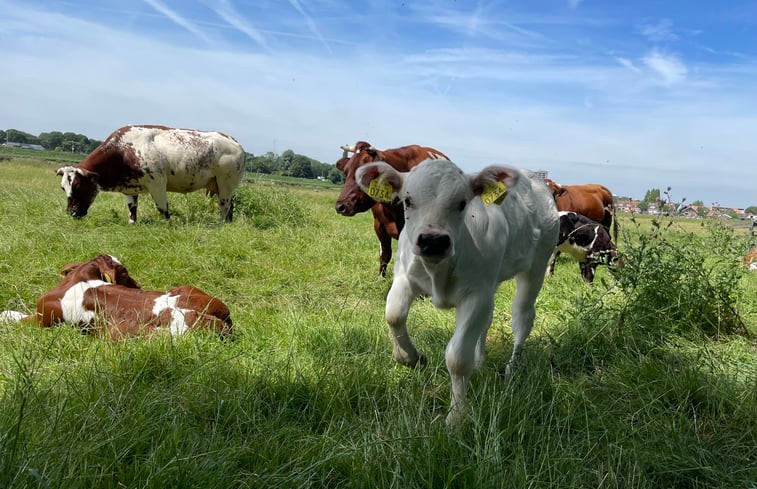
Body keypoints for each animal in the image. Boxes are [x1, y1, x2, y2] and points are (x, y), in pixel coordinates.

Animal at [0, 254, 230, 338]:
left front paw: (5, 315)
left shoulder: (41, 319)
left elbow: (16, 317)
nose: (138, 285)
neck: (80, 278)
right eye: (125, 273)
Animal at [56, 126, 245, 225]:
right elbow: (132, 208)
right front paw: (132, 223)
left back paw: (221, 224)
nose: (71, 212)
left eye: (78, 185)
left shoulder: (158, 184)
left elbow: (163, 208)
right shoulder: (130, 188)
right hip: (222, 186)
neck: (124, 151)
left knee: (225, 206)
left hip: (226, 184)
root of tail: (235, 142)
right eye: (63, 187)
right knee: (231, 206)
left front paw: (167, 224)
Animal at [334, 142, 446, 278]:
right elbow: (385, 254)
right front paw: (380, 278)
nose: (340, 206)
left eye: (365, 174)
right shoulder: (379, 225)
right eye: (346, 172)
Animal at [352, 157, 556, 424]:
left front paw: (456, 417)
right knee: (488, 321)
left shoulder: (476, 295)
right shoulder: (405, 276)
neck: (439, 271)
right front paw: (412, 358)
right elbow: (394, 315)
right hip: (494, 281)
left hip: (537, 266)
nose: (433, 241)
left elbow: (457, 358)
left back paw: (511, 370)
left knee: (522, 318)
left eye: (462, 203)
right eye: (407, 201)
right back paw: (480, 362)